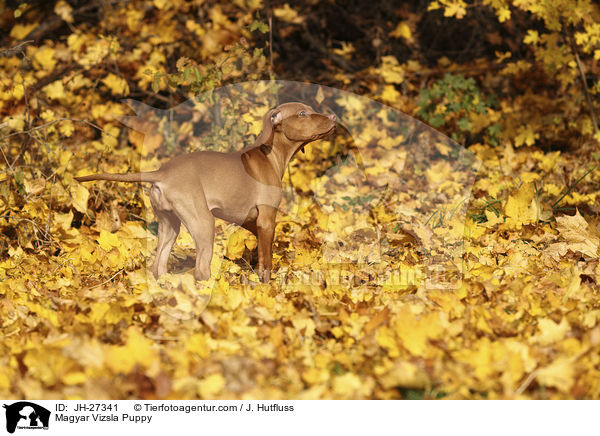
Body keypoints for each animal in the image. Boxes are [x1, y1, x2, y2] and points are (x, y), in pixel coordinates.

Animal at [76, 102, 338, 282]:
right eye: (302, 113)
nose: (334, 116)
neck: (270, 154)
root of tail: (162, 172)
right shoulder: (266, 219)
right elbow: (266, 259)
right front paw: (266, 285)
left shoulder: (252, 221)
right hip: (203, 223)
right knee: (200, 269)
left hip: (170, 224)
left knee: (158, 265)